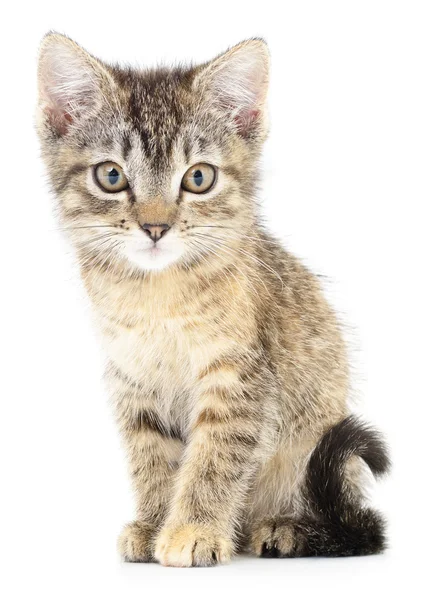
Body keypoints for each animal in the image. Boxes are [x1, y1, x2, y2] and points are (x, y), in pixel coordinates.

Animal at [36, 32, 388, 568]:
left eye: (198, 178)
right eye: (111, 176)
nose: (155, 226)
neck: (157, 296)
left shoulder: (240, 380)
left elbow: (214, 458)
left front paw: (193, 529)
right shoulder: (132, 380)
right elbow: (151, 458)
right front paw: (154, 523)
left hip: (318, 446)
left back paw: (287, 527)